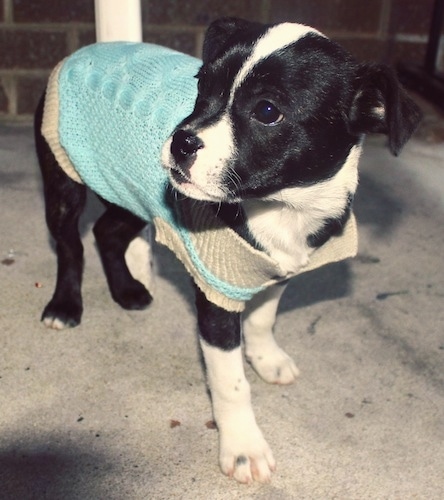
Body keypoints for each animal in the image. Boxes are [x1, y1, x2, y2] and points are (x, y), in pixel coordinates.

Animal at [34, 17, 420, 482]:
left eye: (268, 111)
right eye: (202, 85)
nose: (181, 141)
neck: (281, 208)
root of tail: (78, 55)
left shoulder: (277, 270)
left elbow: (263, 318)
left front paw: (266, 357)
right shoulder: (217, 299)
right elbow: (231, 383)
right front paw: (243, 447)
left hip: (129, 195)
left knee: (107, 232)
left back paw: (127, 290)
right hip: (63, 176)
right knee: (70, 243)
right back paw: (64, 305)